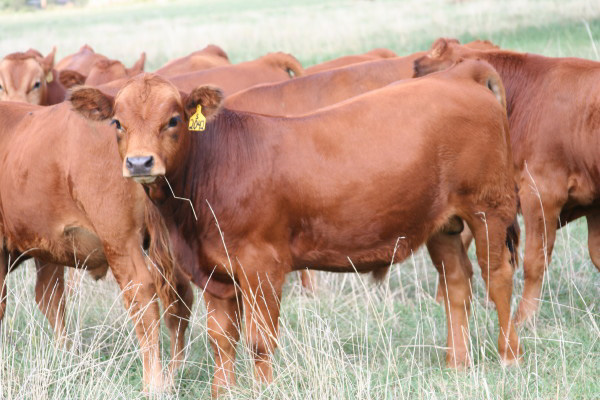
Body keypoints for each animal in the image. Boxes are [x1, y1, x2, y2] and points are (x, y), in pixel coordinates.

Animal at [0, 101, 192, 394]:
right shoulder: (49, 249)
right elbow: (51, 299)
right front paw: (65, 355)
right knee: (179, 299)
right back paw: (174, 374)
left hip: (121, 244)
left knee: (143, 295)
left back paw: (155, 383)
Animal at [70, 58, 520, 396]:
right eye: (116, 123)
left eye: (174, 119)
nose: (140, 163)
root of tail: (459, 73)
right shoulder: (214, 272)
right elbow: (221, 339)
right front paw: (224, 391)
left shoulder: (263, 266)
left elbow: (259, 340)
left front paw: (264, 389)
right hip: (443, 225)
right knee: (457, 284)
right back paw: (457, 363)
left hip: (489, 210)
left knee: (497, 276)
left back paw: (509, 357)